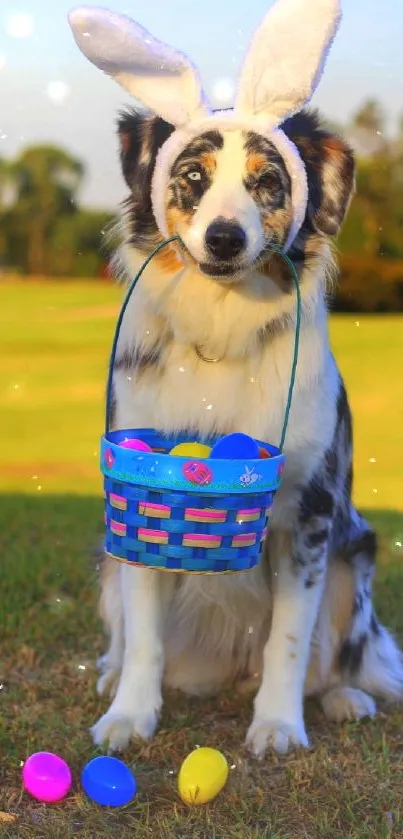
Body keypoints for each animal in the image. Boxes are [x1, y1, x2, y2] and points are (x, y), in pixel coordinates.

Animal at [68, 0, 403, 756]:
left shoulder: (311, 513)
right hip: (105, 562)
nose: (224, 237)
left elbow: (289, 638)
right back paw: (110, 674)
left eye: (266, 182)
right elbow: (144, 637)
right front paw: (130, 715)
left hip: (356, 555)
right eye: (191, 177)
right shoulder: (141, 494)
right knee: (124, 633)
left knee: (338, 652)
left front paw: (277, 724)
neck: (221, 329)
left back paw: (341, 697)